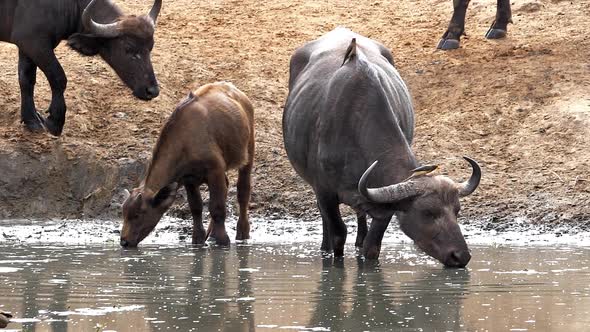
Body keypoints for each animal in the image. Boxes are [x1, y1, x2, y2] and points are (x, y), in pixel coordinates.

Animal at [0, 0, 162, 136]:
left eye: (151, 48)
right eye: (128, 48)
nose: (152, 91)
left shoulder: (26, 46)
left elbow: (26, 79)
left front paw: (31, 119)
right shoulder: (34, 44)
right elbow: (58, 77)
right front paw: (55, 121)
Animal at [121, 81, 256, 248]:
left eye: (138, 214)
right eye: (124, 214)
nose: (124, 241)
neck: (185, 141)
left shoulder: (215, 171)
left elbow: (217, 207)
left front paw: (223, 240)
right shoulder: (189, 179)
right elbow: (196, 207)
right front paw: (198, 239)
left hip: (248, 151)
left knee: (243, 191)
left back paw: (242, 232)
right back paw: (211, 234)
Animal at [284, 27, 484, 268]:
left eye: (457, 211)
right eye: (427, 212)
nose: (461, 256)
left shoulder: (384, 207)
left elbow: (372, 247)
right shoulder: (325, 192)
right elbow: (338, 233)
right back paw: (325, 247)